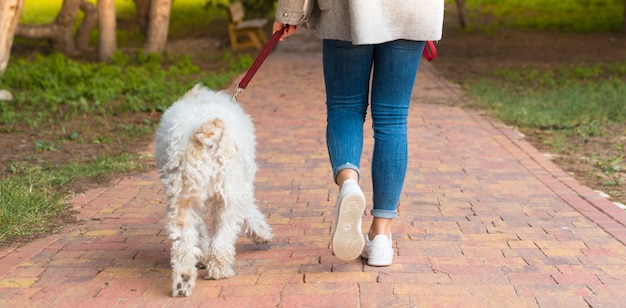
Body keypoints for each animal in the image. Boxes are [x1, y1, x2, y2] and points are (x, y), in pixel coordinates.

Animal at [154, 84, 270, 296]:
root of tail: (202, 132)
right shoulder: (241, 187)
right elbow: (250, 212)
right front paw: (262, 233)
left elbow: (199, 232)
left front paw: (201, 255)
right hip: (229, 194)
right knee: (223, 238)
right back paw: (219, 270)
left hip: (182, 200)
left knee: (183, 246)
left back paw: (183, 282)